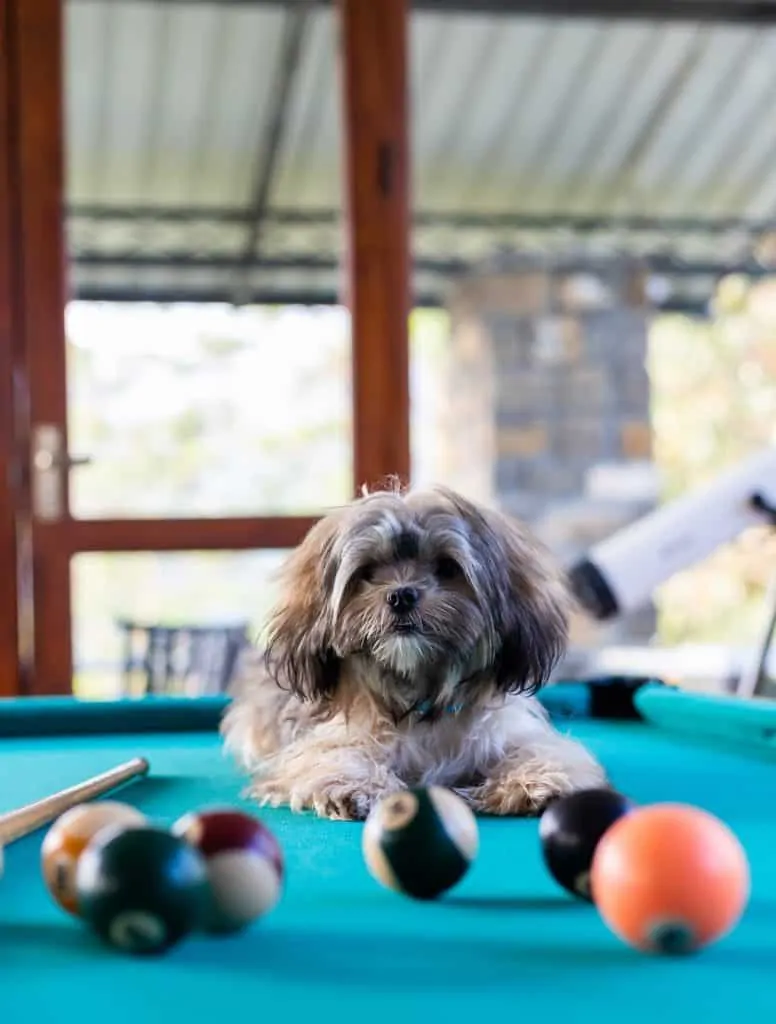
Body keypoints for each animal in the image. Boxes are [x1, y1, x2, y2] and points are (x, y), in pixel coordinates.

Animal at [220, 483, 606, 819]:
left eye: (447, 567)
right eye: (368, 572)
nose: (401, 595)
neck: (418, 697)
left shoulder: (506, 732)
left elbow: (544, 750)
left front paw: (537, 779)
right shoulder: (325, 740)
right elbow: (331, 757)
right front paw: (354, 785)